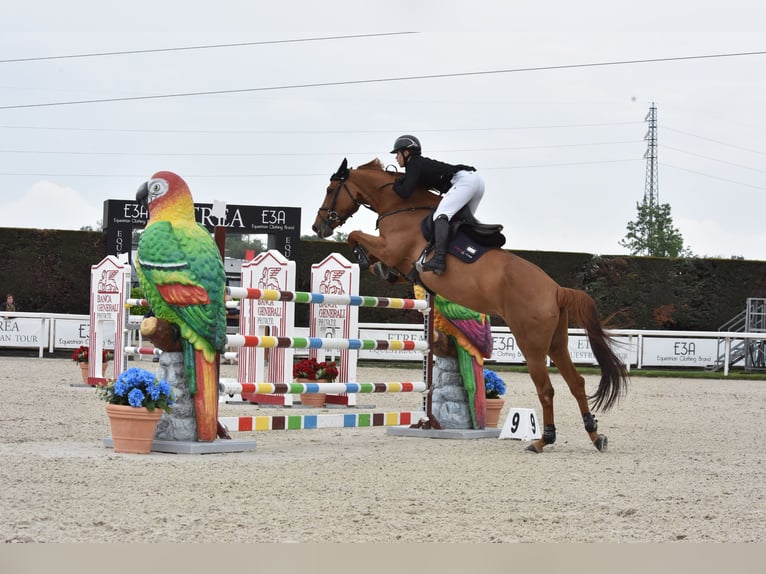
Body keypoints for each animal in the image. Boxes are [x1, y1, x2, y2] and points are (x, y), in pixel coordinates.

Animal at [314, 159, 632, 454]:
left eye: (330, 190)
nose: (319, 227)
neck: (401, 206)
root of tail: (556, 289)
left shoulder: (392, 249)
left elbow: (356, 235)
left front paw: (365, 258)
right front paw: (378, 268)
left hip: (531, 344)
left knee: (546, 389)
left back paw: (543, 440)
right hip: (556, 343)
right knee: (576, 383)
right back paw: (595, 435)